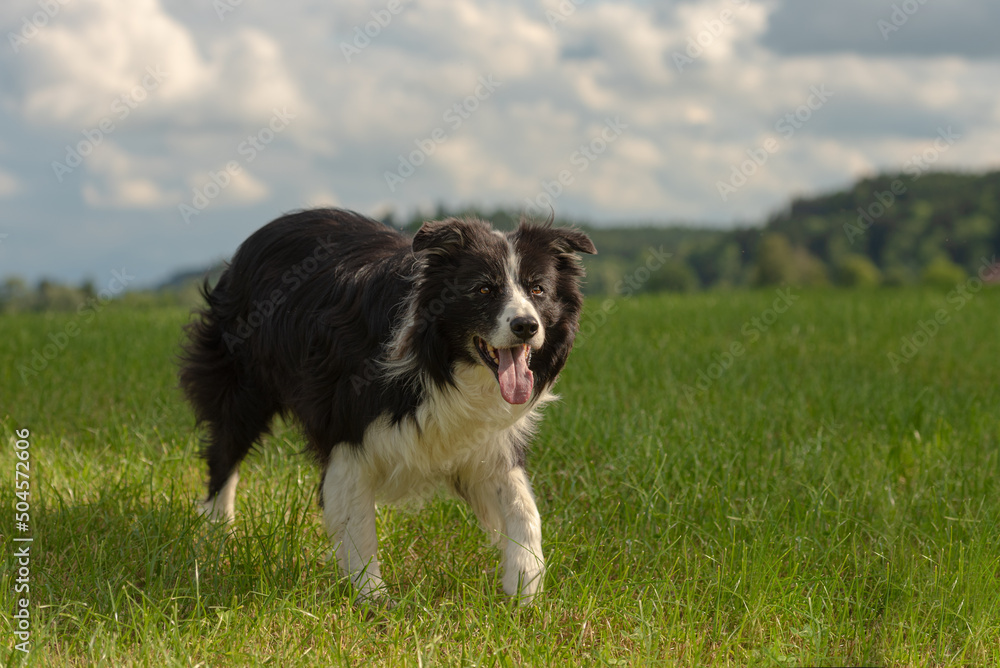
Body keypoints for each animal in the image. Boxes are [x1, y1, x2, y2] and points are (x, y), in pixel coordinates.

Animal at [180, 206, 592, 604]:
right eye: (483, 289)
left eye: (538, 289)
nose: (526, 326)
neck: (442, 360)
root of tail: (265, 231)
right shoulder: (348, 428)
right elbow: (357, 518)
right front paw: (372, 597)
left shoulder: (486, 437)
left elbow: (523, 504)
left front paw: (526, 586)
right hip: (241, 379)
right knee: (225, 451)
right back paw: (217, 533)